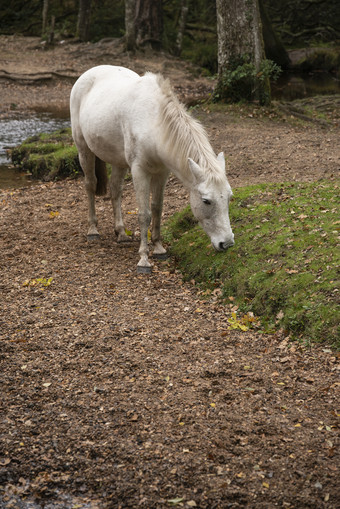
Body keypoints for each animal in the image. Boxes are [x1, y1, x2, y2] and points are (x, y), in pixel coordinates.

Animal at [69, 66, 234, 274]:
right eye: (206, 201)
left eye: (229, 197)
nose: (226, 243)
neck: (154, 122)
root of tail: (88, 73)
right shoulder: (139, 171)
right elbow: (144, 214)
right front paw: (144, 259)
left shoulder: (162, 173)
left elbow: (157, 208)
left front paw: (159, 248)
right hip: (84, 150)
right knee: (90, 185)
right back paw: (93, 230)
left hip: (118, 162)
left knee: (115, 190)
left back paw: (121, 233)